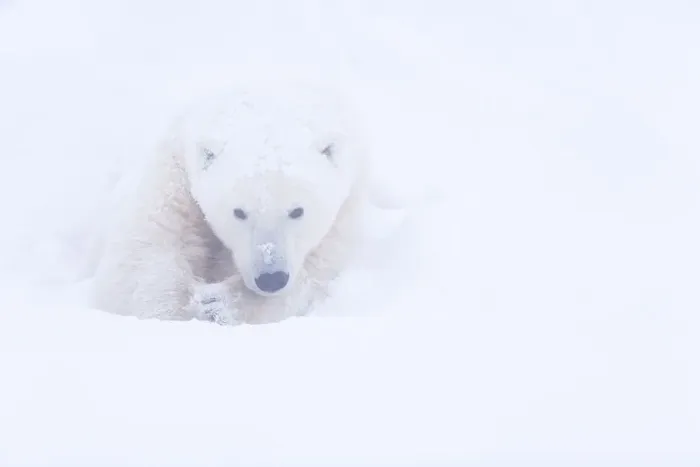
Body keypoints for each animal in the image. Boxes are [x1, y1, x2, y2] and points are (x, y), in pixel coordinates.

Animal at [89, 80, 372, 325]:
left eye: (297, 211)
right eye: (239, 212)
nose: (271, 278)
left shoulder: (347, 203)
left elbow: (315, 269)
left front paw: (219, 303)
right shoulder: (175, 176)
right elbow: (140, 260)